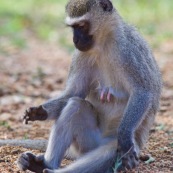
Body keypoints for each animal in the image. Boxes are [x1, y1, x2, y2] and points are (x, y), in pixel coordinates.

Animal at [16, 0, 162, 173]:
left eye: (81, 26)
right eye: (73, 27)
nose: (75, 40)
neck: (104, 42)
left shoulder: (128, 50)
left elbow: (142, 92)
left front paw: (125, 137)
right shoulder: (80, 55)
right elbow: (74, 93)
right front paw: (39, 112)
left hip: (116, 145)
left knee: (106, 154)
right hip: (85, 145)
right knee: (75, 105)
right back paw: (43, 165)